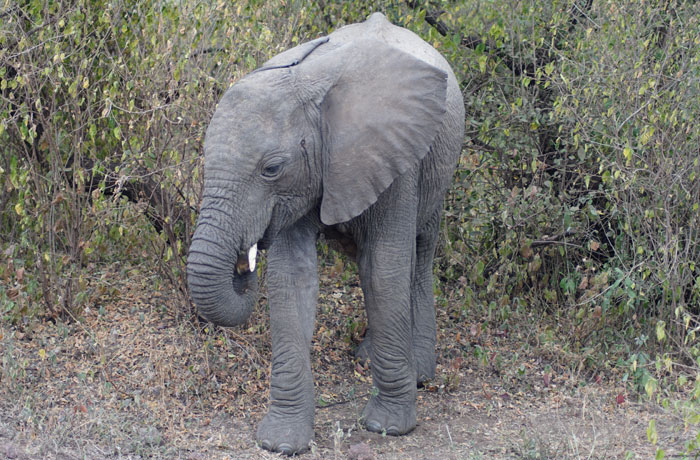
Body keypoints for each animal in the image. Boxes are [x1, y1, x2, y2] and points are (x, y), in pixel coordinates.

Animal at [186, 11, 464, 456]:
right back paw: (368, 359)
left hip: (437, 165)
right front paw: (281, 442)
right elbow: (292, 279)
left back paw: (419, 372)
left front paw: (388, 426)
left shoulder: (394, 157)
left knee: (418, 253)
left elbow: (383, 270)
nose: (244, 264)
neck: (305, 85)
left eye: (271, 169)